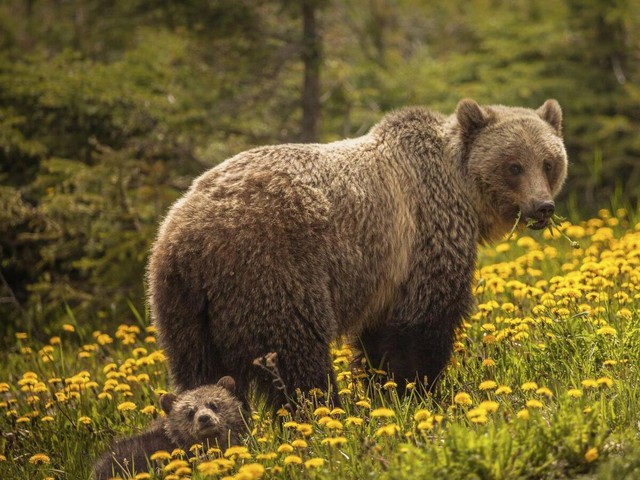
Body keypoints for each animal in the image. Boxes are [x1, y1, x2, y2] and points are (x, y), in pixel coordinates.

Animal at [149, 99, 568, 406]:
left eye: (548, 162)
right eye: (513, 165)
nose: (542, 207)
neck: (461, 191)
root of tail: (188, 235)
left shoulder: (386, 273)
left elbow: (379, 339)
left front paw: (385, 390)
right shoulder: (423, 238)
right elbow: (423, 325)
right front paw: (420, 392)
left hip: (183, 306)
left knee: (198, 371)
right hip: (270, 269)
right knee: (295, 355)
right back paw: (321, 412)